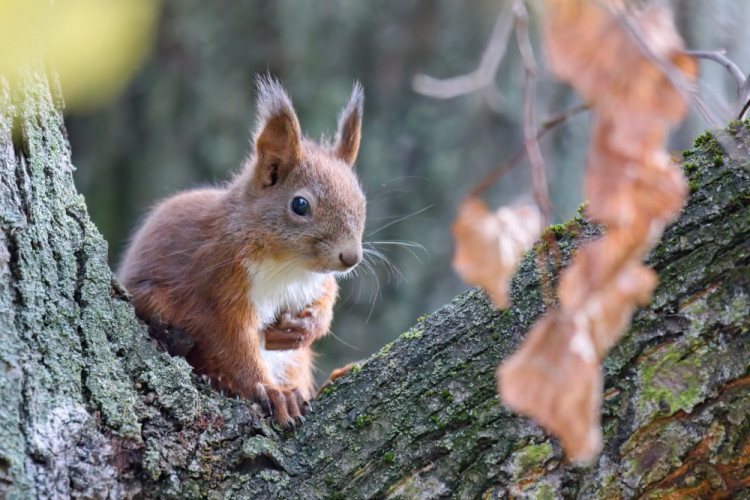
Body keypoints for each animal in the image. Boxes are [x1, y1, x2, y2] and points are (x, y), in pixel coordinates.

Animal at [120, 76, 368, 428]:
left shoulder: (318, 280)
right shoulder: (216, 281)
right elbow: (230, 343)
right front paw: (272, 393)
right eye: (300, 205)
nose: (350, 258)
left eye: (361, 200)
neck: (288, 266)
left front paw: (304, 328)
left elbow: (325, 302)